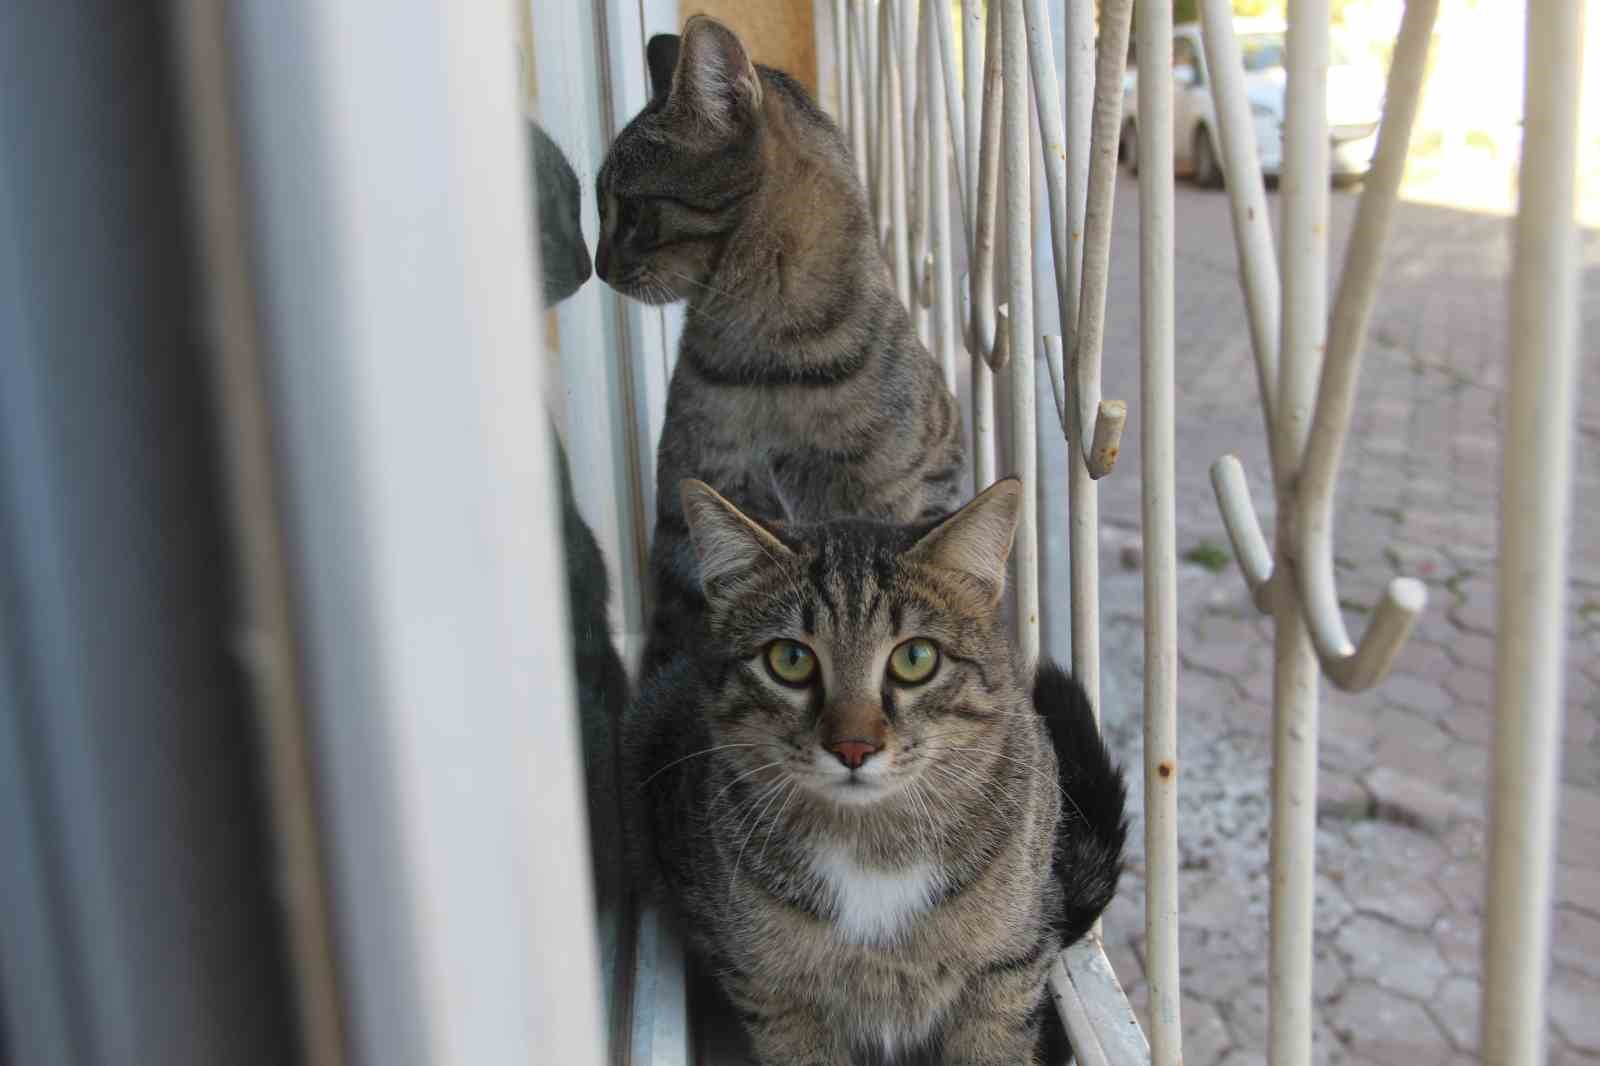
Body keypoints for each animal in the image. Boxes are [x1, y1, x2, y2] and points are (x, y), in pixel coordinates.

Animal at [624, 480, 1126, 1062]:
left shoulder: (1008, 969)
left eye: (916, 658)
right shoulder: (771, 993)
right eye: (790, 659)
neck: (871, 846)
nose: (853, 747)